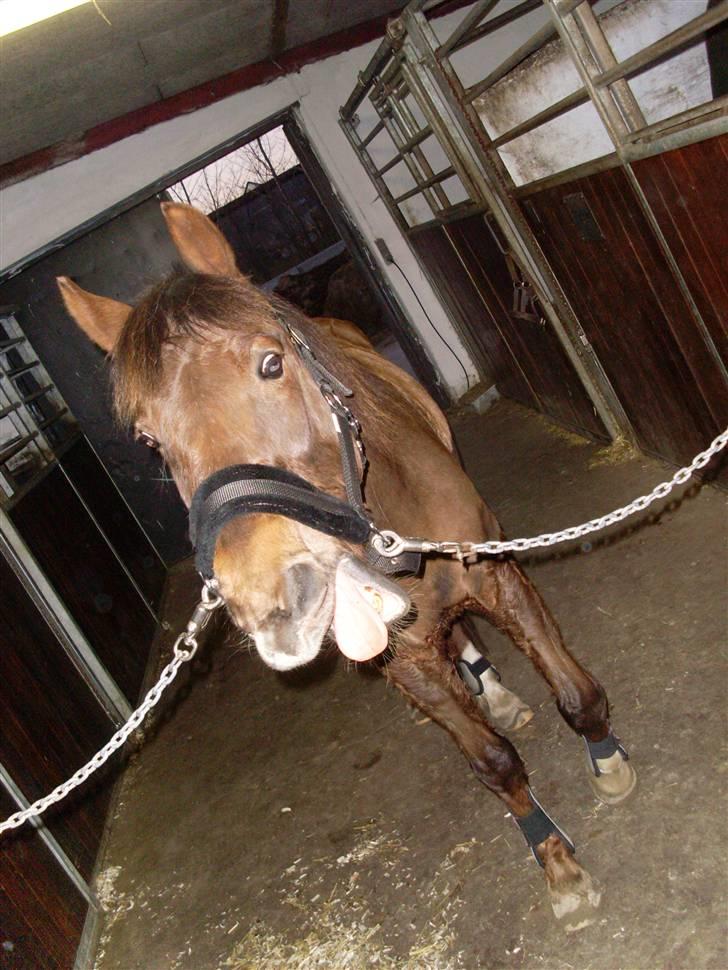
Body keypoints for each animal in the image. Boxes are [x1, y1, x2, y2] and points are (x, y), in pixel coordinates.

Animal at [58, 201, 636, 925]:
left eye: (270, 364)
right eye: (148, 439)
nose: (267, 599)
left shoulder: (501, 578)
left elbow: (575, 695)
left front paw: (609, 763)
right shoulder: (402, 658)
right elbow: (494, 763)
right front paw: (556, 864)